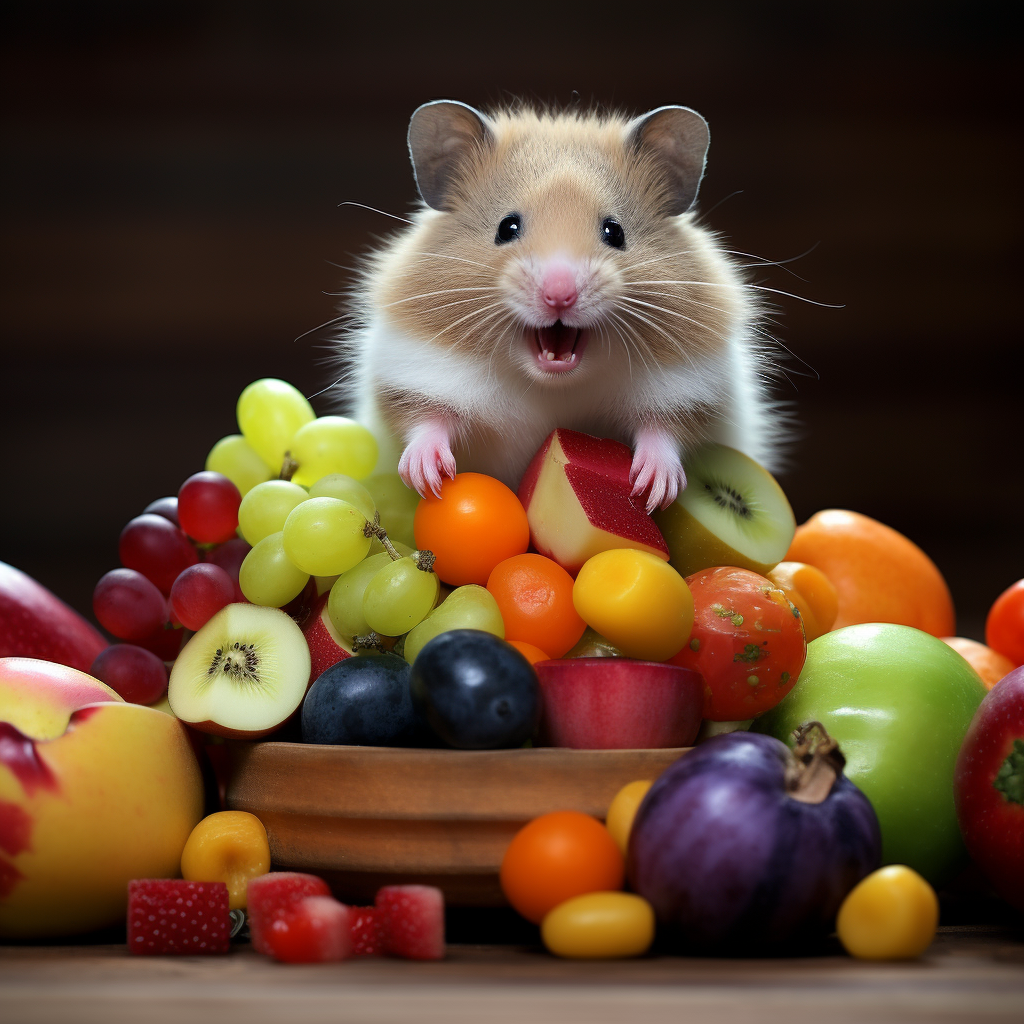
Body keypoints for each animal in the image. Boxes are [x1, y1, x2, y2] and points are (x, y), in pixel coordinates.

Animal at [339, 99, 786, 507]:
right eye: (507, 227)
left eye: (614, 232)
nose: (559, 294)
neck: (554, 384)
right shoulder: (416, 371)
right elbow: (426, 419)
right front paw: (428, 477)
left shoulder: (691, 386)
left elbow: (664, 430)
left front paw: (652, 488)